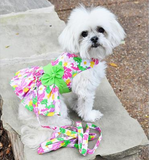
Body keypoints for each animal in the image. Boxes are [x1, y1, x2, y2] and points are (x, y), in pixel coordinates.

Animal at [18, 6, 125, 149]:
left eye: (101, 29)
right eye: (84, 34)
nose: (94, 38)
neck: (84, 56)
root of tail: (28, 120)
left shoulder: (77, 86)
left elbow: (76, 96)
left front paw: (75, 105)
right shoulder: (86, 89)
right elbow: (86, 106)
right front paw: (89, 116)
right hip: (57, 107)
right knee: (55, 124)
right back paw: (66, 123)